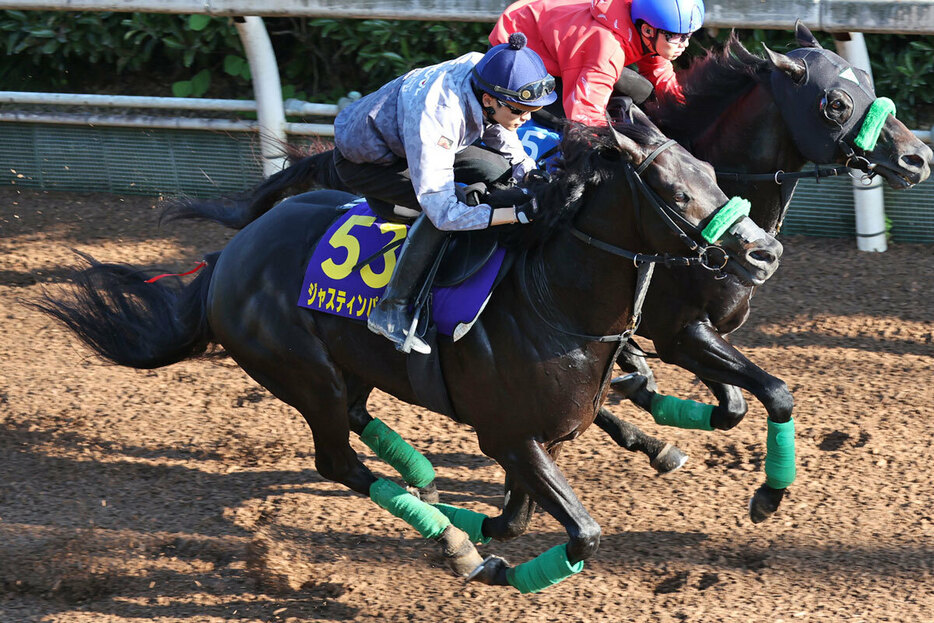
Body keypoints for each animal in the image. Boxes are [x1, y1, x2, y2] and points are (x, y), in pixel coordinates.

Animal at [33, 119, 788, 592]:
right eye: (676, 191)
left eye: (713, 172)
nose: (764, 252)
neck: (555, 303)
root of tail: (229, 258)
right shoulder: (510, 434)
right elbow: (581, 533)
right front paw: (497, 561)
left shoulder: (544, 428)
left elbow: (522, 512)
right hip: (303, 374)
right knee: (338, 461)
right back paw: (453, 543)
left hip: (348, 367)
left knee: (361, 423)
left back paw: (427, 482)